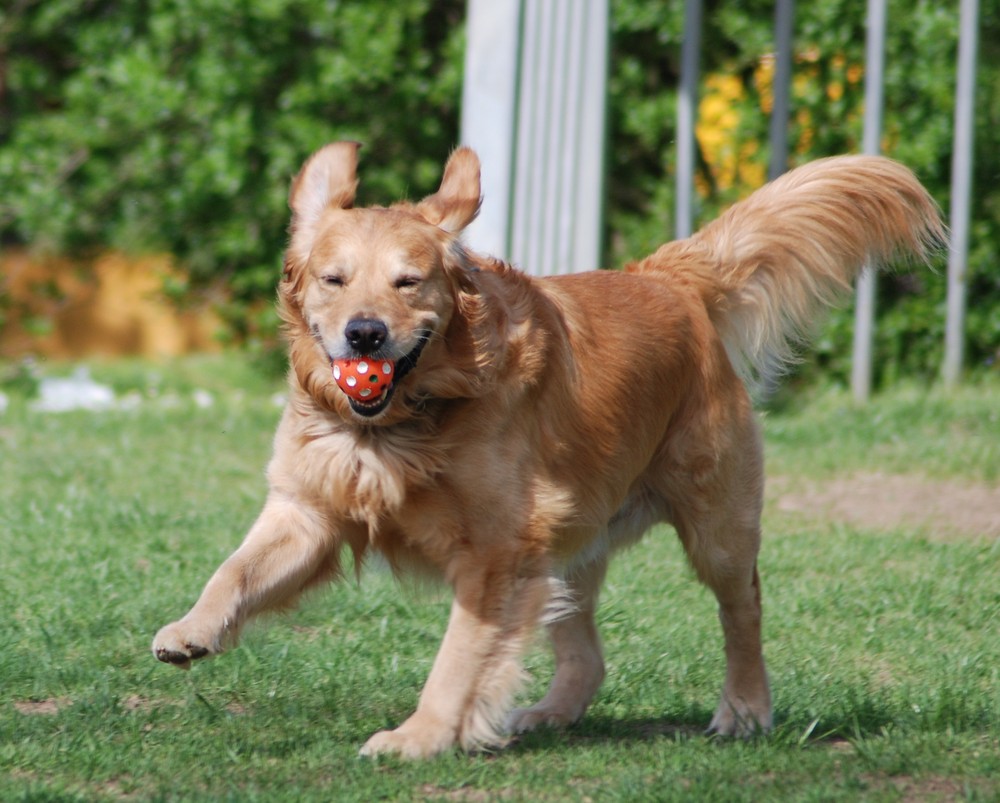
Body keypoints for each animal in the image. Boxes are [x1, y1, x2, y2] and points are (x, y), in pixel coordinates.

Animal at [152, 146, 940, 760]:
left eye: (409, 281)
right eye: (333, 279)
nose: (365, 334)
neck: (404, 423)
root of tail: (666, 277)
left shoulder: (497, 551)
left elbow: (458, 657)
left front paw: (421, 735)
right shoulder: (309, 509)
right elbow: (235, 569)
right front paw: (190, 630)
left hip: (713, 519)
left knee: (742, 605)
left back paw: (744, 708)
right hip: (566, 545)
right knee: (587, 655)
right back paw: (551, 714)